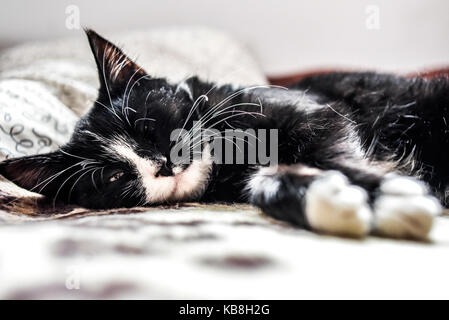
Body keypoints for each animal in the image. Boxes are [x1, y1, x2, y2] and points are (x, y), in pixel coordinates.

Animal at [1, 29, 446, 240]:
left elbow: (330, 150)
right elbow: (265, 183)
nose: (163, 165)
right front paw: (326, 200)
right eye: (114, 176)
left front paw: (385, 197)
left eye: (147, 126)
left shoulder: (315, 112)